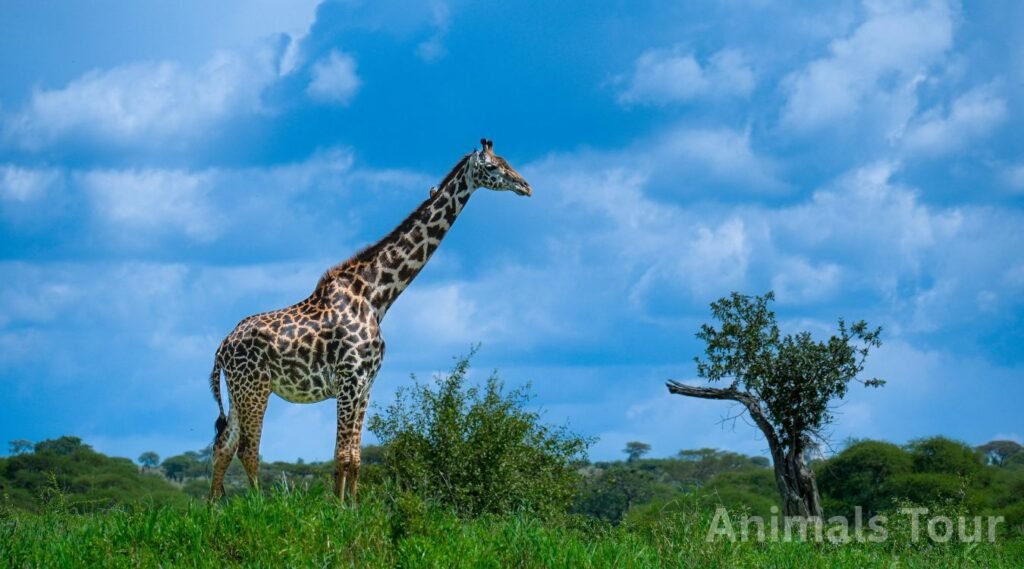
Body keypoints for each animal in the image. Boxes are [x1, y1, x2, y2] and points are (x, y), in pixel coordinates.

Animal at [208, 139, 531, 501]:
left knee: (224, 445)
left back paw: (214, 507)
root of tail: (222, 348)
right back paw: (261, 505)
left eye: (506, 161)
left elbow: (356, 456)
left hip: (239, 392)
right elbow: (342, 455)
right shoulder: (349, 379)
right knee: (247, 449)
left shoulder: (366, 384)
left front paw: (353, 506)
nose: (525, 186)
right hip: (256, 388)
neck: (377, 297)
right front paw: (337, 508)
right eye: (492, 167)